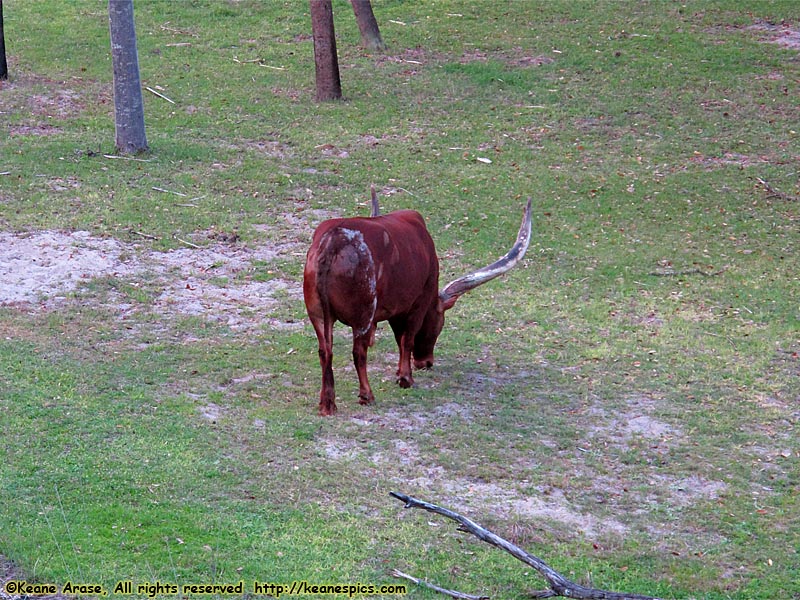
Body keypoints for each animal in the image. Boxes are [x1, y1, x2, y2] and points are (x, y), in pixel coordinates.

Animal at [300, 195, 532, 414]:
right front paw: (405, 379)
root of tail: (333, 240)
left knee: (325, 351)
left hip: (318, 314)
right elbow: (407, 339)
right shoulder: (418, 303)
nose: (425, 362)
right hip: (363, 314)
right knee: (359, 352)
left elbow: (399, 337)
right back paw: (367, 395)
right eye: (439, 324)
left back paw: (327, 404)